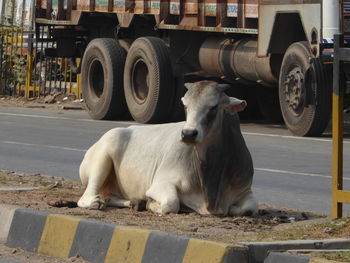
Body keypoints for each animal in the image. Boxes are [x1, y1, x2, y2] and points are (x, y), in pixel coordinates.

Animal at [78, 80, 258, 217]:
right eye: (185, 106)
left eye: (213, 107)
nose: (188, 133)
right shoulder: (161, 183)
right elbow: (171, 204)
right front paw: (152, 203)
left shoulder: (245, 190)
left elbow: (250, 208)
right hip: (104, 154)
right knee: (86, 197)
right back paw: (97, 202)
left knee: (110, 196)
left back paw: (135, 202)